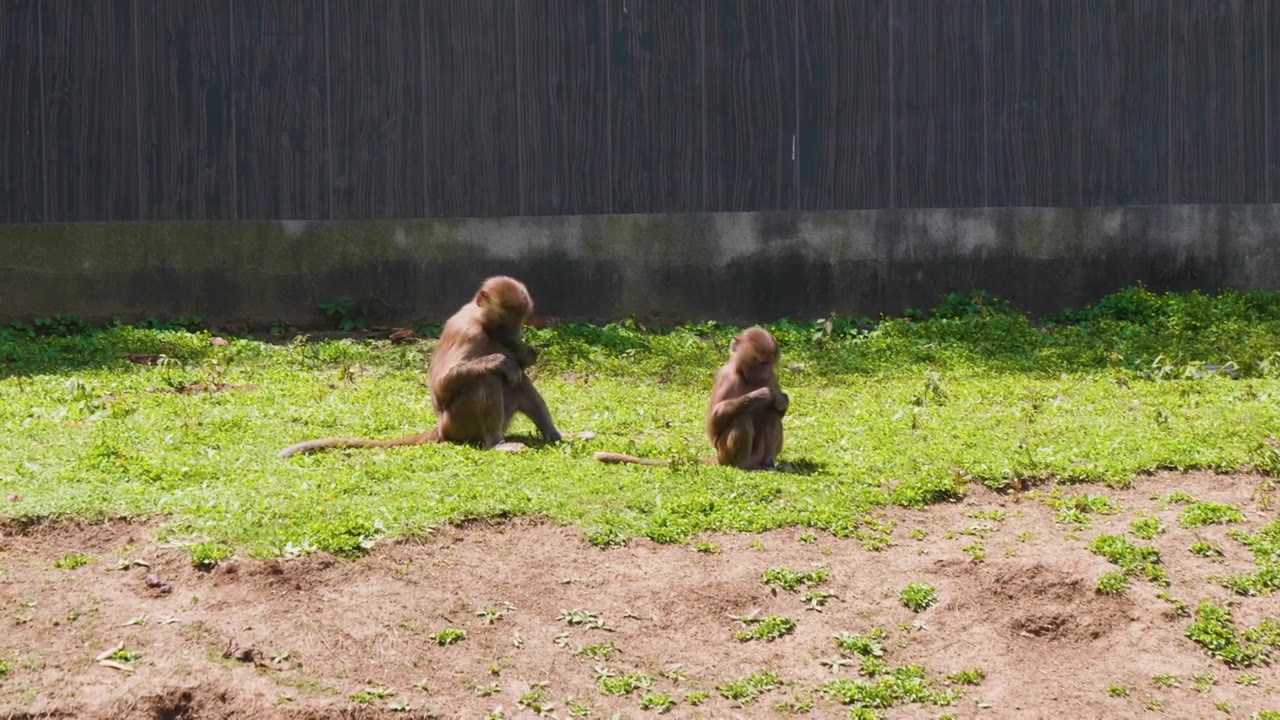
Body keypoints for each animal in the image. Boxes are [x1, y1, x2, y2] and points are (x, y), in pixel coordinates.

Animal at [280, 274, 560, 453]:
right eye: (505, 320)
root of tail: (441, 429)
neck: (482, 323)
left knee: (517, 383)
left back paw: (555, 435)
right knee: (486, 377)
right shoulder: (468, 332)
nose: (514, 334)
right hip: (458, 422)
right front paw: (504, 360)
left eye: (520, 320)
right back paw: (497, 443)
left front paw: (523, 353)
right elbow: (442, 385)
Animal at [591, 326, 788, 471]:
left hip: (756, 454)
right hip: (723, 453)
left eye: (768, 363)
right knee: (741, 417)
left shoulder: (772, 376)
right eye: (758, 362)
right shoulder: (725, 377)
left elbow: (777, 408)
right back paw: (743, 465)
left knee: (772, 415)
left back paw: (768, 463)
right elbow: (713, 423)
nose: (762, 373)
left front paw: (781, 399)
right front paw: (760, 395)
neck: (745, 376)